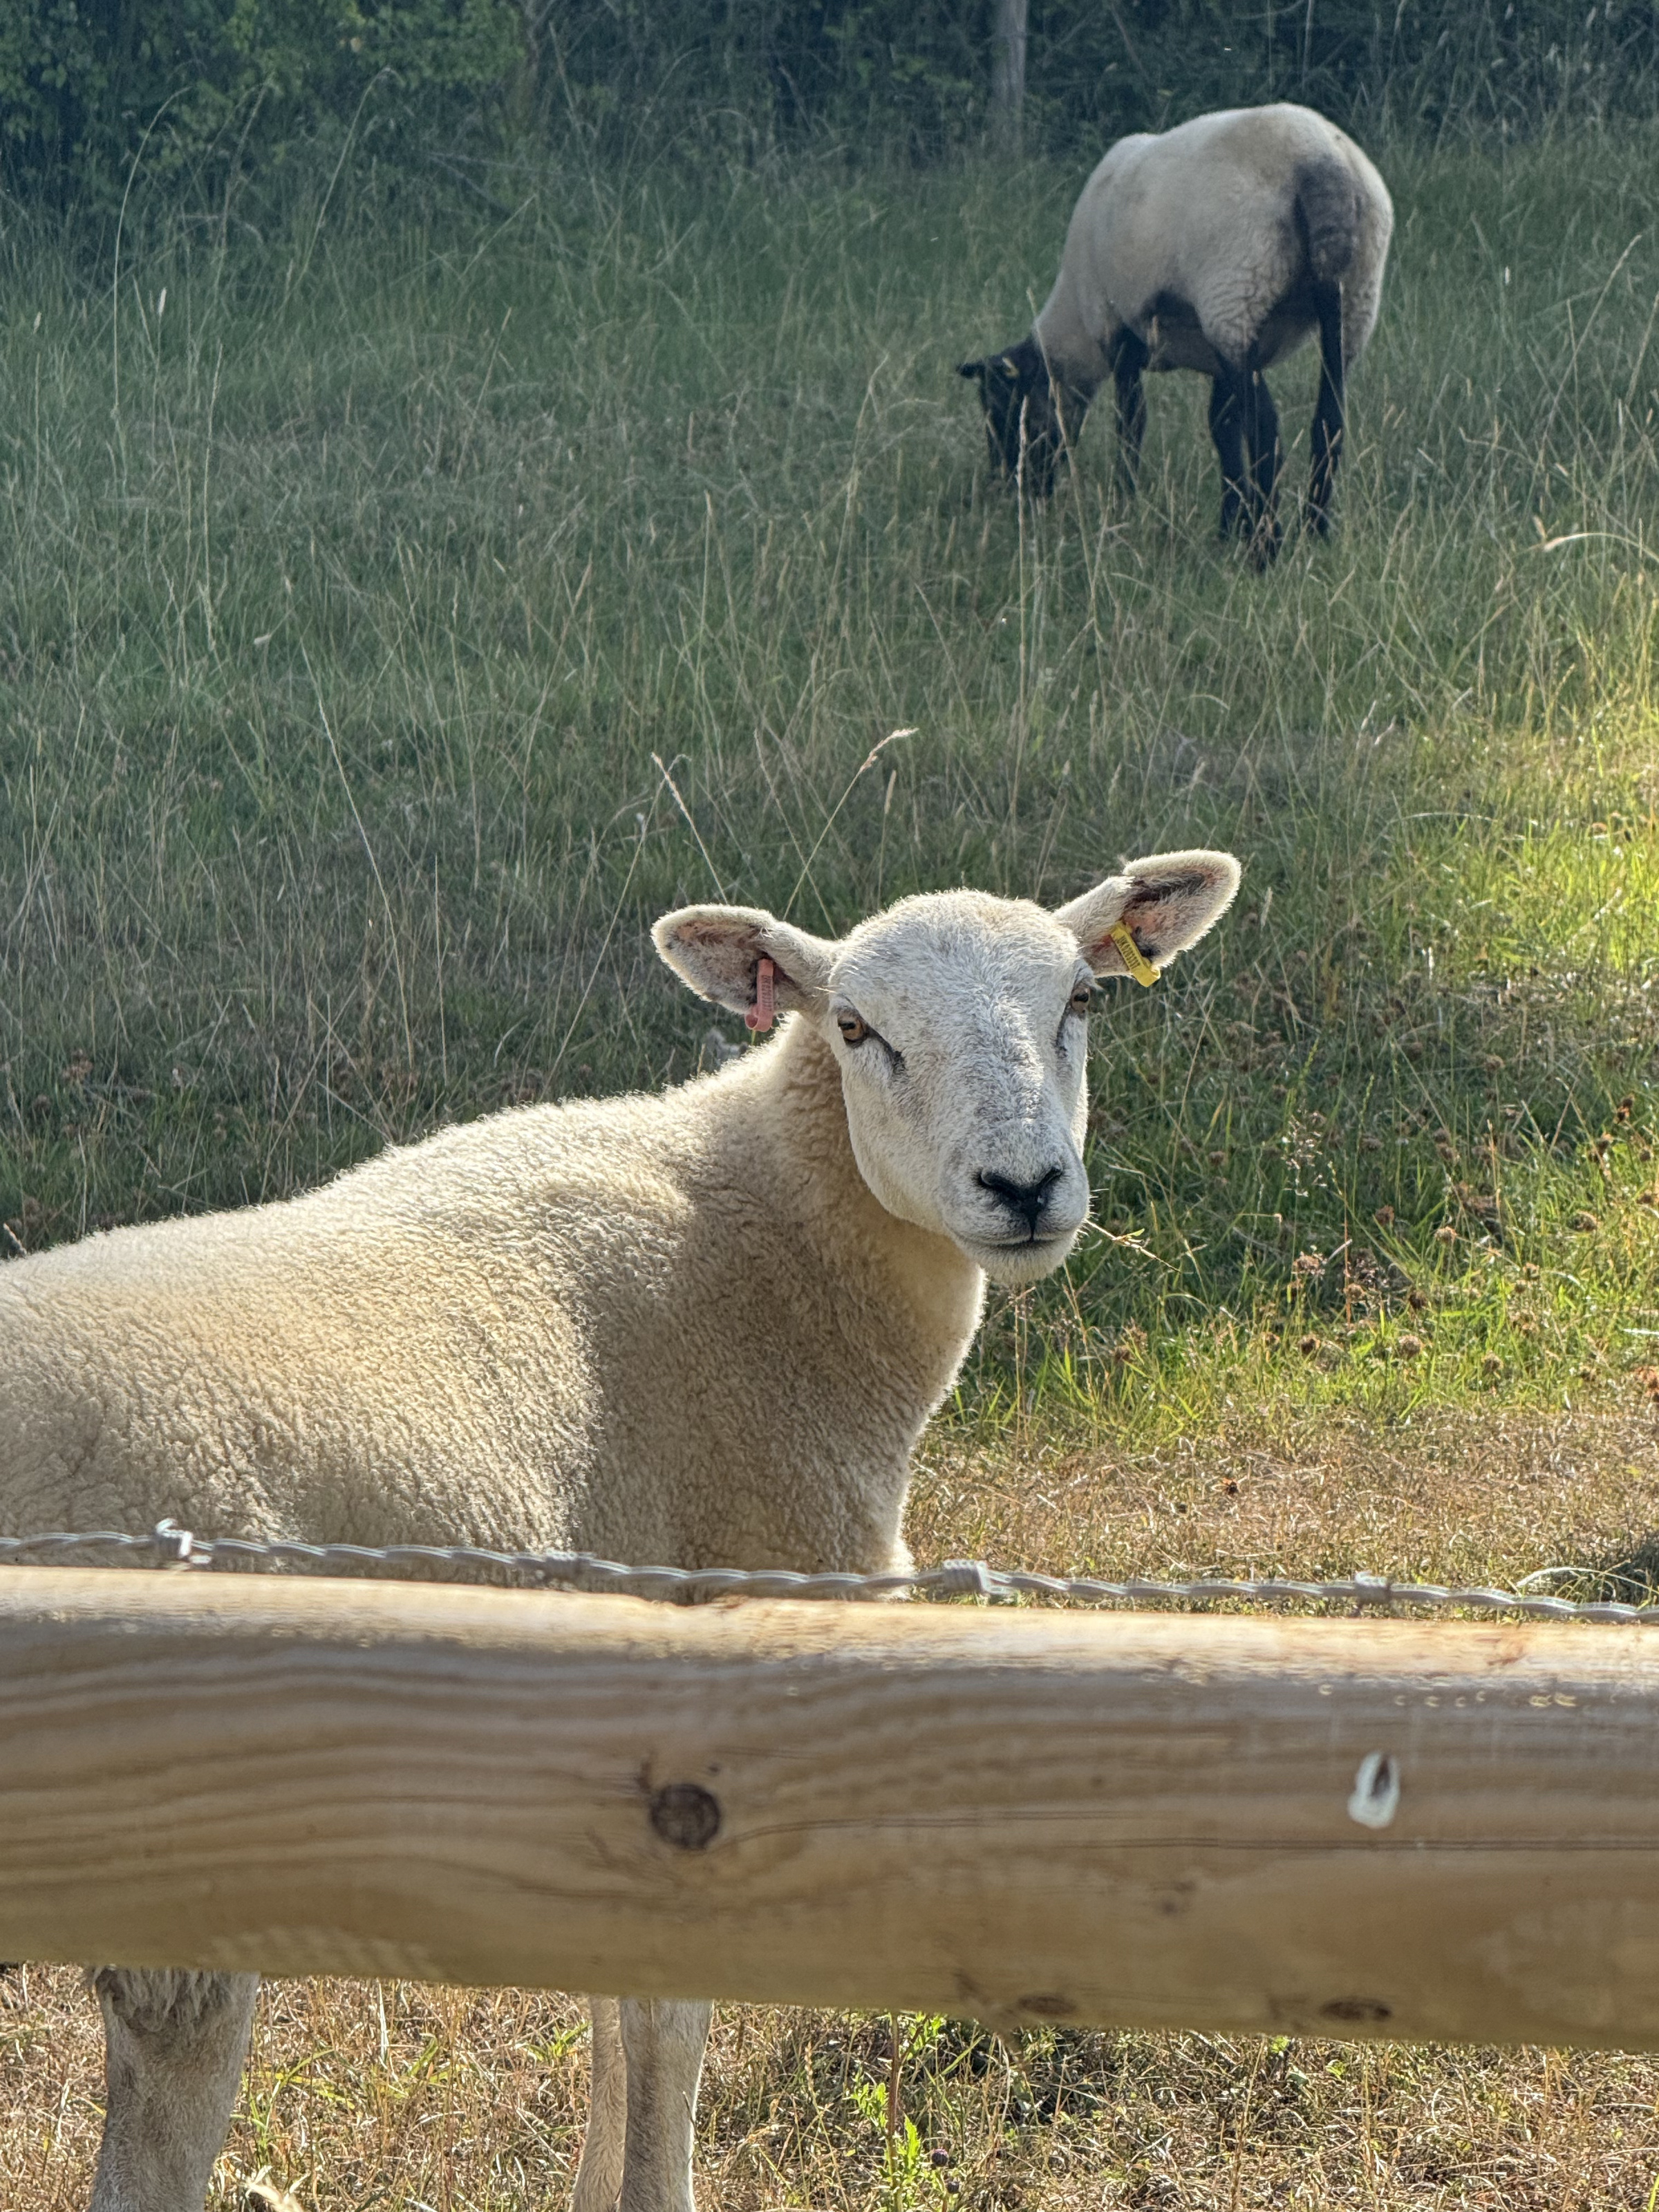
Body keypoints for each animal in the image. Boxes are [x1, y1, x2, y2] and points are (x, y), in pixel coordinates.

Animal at [958, 102, 1393, 560]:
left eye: (1003, 410)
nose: (1014, 491)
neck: (1074, 324)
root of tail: (1322, 164)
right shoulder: (1220, 355)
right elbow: (1222, 428)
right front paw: (1228, 524)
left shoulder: (1121, 332)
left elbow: (1132, 424)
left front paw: (1125, 505)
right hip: (1350, 301)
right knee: (1329, 422)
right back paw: (1315, 533)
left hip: (1237, 294)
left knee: (1267, 432)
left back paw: (1267, 547)